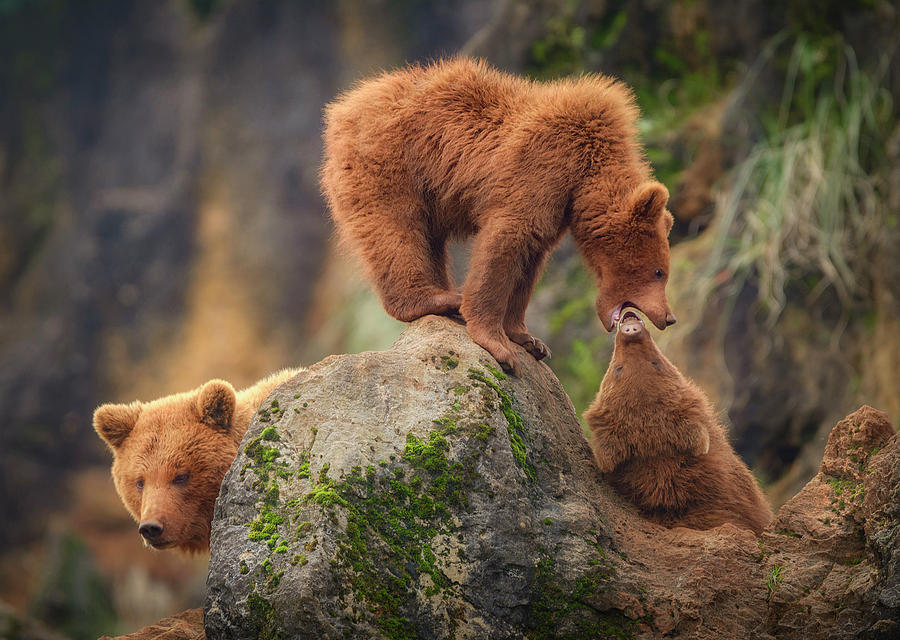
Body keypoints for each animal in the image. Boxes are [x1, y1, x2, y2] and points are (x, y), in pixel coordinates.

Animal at [322, 59, 676, 372]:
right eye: (659, 271)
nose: (669, 317)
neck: (587, 171)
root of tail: (344, 105)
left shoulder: (557, 206)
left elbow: (530, 259)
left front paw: (529, 339)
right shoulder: (541, 167)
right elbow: (504, 242)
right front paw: (498, 344)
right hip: (392, 165)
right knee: (396, 232)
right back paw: (438, 299)